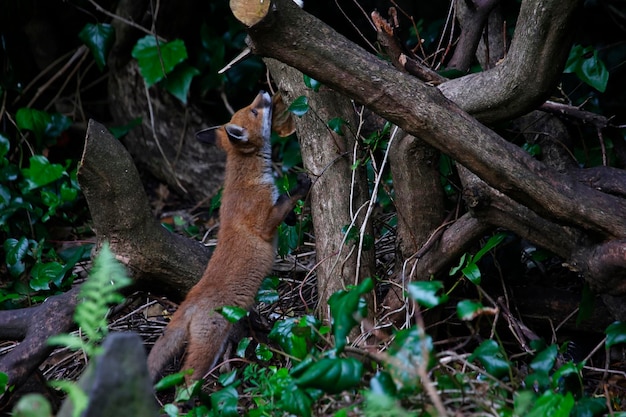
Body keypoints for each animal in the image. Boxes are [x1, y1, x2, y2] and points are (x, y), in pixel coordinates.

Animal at [147, 90, 312, 380]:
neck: (248, 178)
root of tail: (189, 301)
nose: (264, 92)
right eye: (254, 111)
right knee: (187, 378)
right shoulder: (263, 222)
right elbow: (285, 201)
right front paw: (300, 186)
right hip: (209, 344)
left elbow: (285, 211)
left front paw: (293, 216)